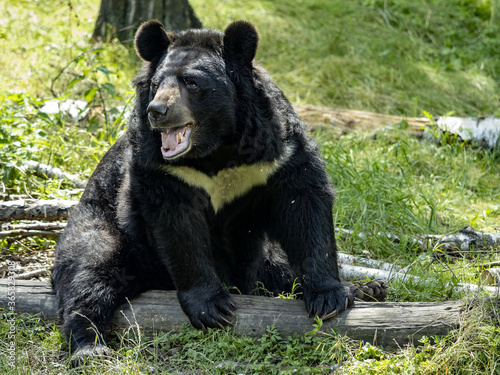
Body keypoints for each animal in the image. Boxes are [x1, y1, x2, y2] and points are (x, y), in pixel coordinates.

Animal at [51, 19, 386, 364]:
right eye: (157, 84)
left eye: (191, 82)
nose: (157, 111)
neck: (215, 150)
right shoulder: (162, 170)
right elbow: (178, 228)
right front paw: (213, 308)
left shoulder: (276, 153)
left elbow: (304, 207)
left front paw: (329, 298)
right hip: (105, 227)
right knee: (91, 272)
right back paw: (90, 345)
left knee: (277, 267)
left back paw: (368, 288)